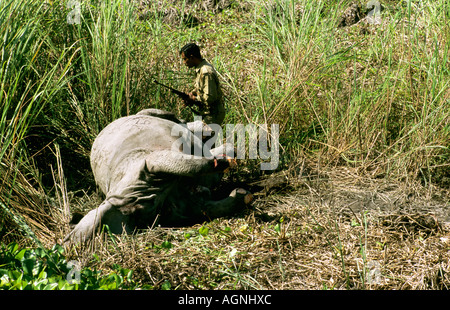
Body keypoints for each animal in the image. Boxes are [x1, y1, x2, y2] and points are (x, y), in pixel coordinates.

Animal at [65, 109, 253, 242]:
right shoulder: (183, 207)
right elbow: (207, 208)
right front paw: (240, 192)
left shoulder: (145, 165)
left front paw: (223, 160)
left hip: (142, 119)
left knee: (163, 116)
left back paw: (206, 132)